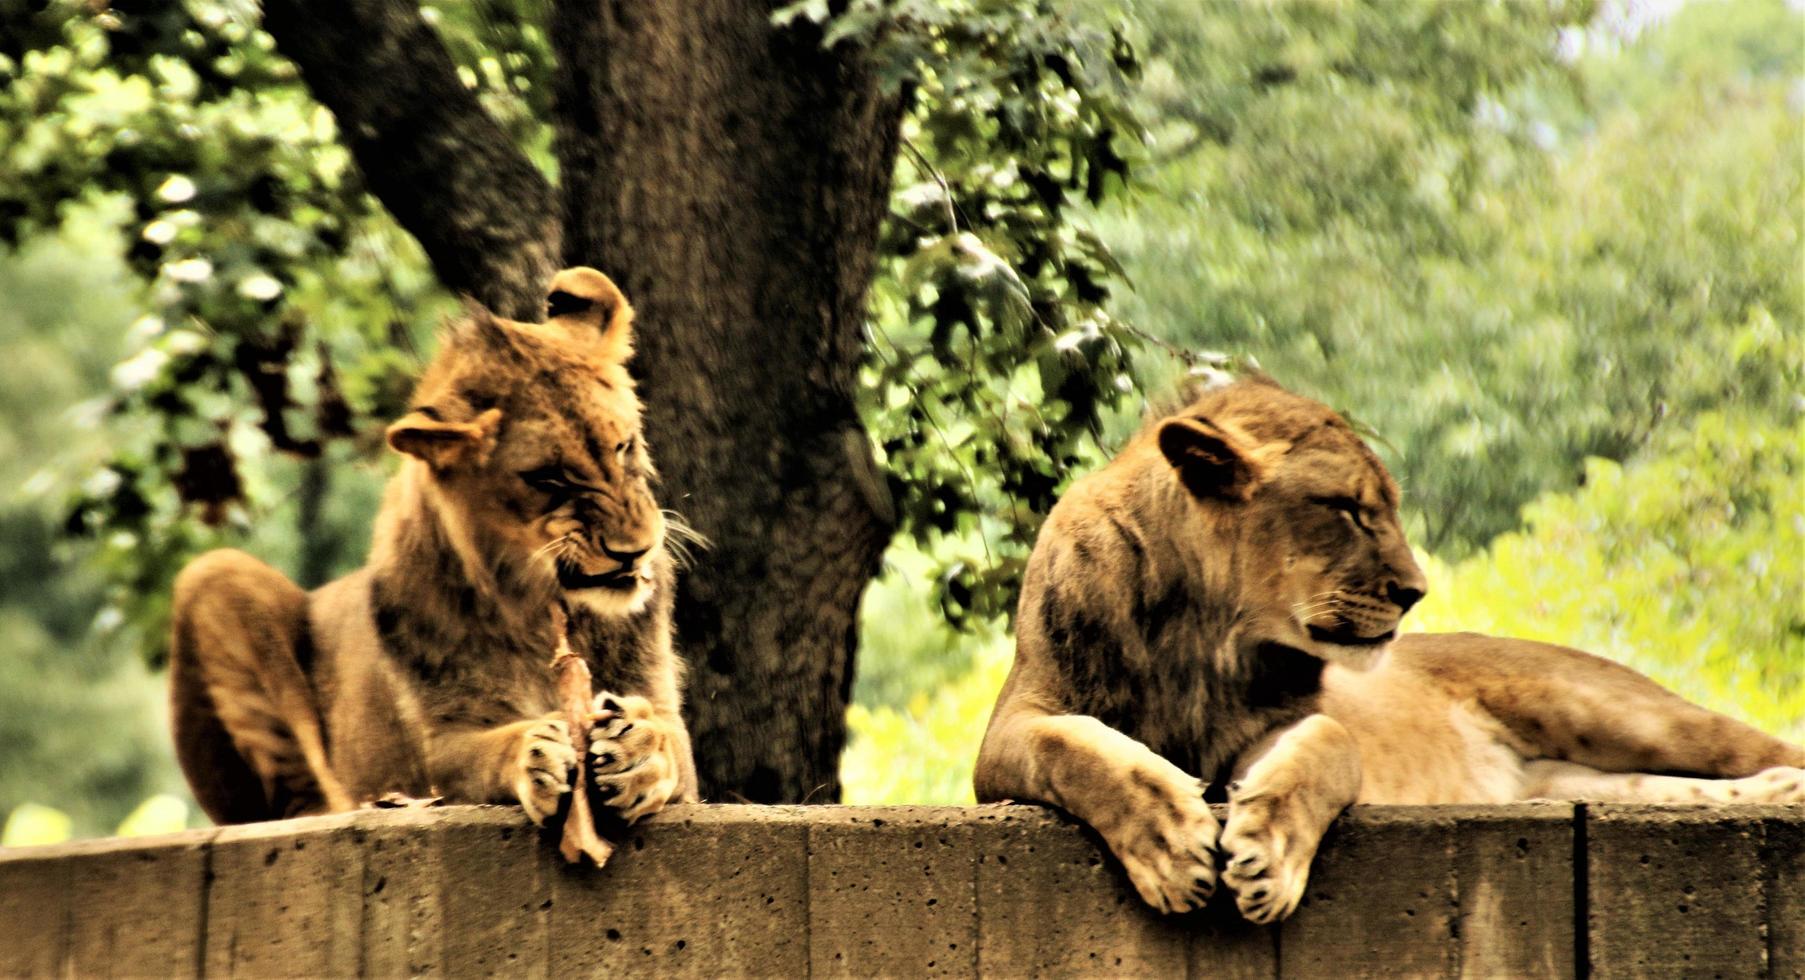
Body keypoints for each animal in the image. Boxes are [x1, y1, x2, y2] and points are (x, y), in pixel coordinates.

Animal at [169, 267, 693, 830]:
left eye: (624, 446)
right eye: (547, 478)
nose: (634, 551)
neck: (534, 602)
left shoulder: (662, 709)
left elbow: (670, 743)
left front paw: (637, 754)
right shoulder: (438, 749)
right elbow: (484, 754)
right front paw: (533, 754)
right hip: (216, 570)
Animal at [974, 371, 1805, 924]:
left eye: (1386, 508)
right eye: (1346, 509)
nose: (1415, 590)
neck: (1208, 632)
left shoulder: (1282, 726)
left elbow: (1328, 743)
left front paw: (1267, 850)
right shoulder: (1010, 730)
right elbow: (1071, 745)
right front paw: (1170, 842)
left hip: (1616, 711)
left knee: (1750, 746)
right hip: (1562, 785)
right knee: (1664, 790)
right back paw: (1773, 795)